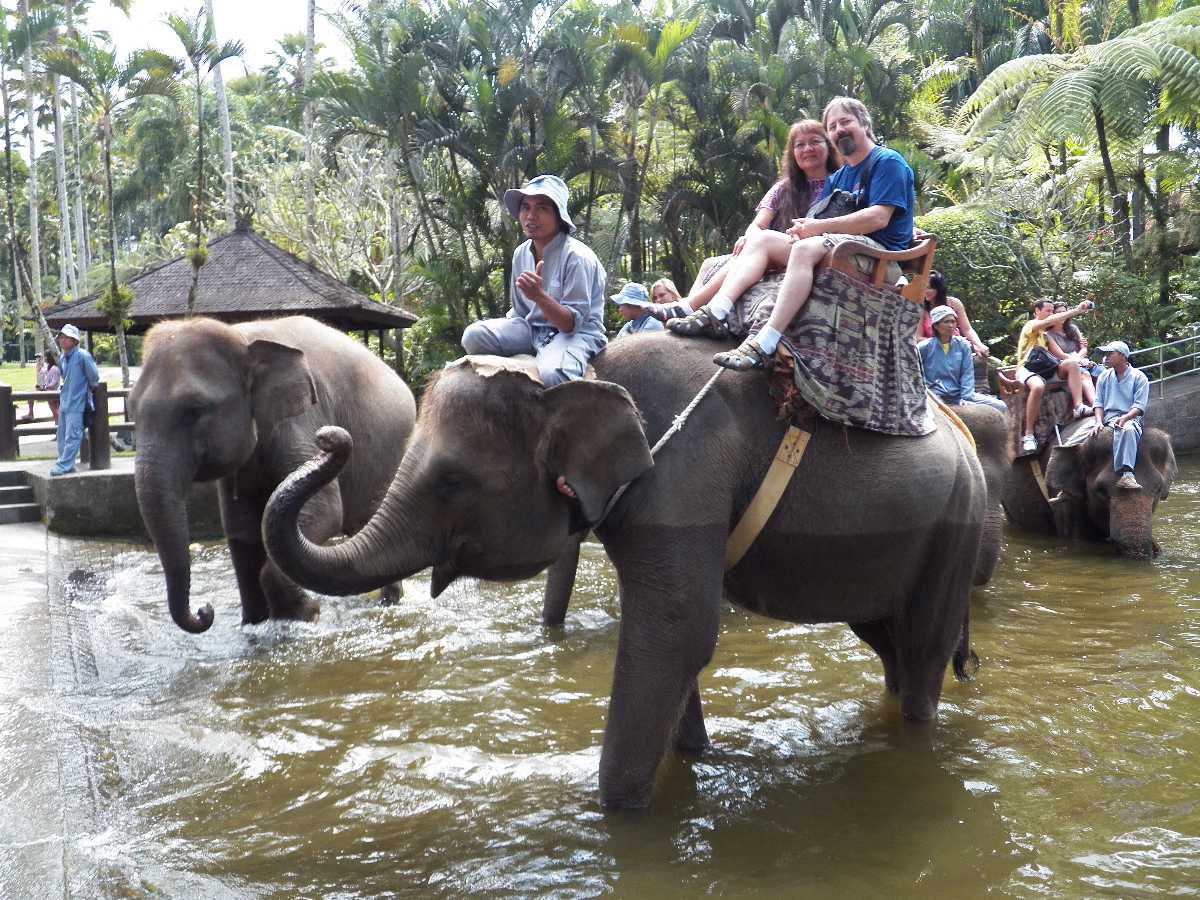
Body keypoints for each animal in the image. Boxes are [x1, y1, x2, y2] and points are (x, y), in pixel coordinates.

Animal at [131, 316, 417, 633]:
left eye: (195, 410)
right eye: (131, 410)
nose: (205, 610)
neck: (241, 337)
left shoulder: (302, 420)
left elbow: (324, 510)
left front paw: (305, 613)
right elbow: (240, 527)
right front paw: (254, 623)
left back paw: (388, 604)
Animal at [267, 336, 988, 816]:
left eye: (451, 482)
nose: (332, 438)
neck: (581, 376)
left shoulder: (684, 476)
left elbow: (677, 629)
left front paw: (615, 817)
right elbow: (674, 641)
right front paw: (694, 758)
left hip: (955, 531)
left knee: (922, 651)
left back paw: (915, 739)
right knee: (887, 644)